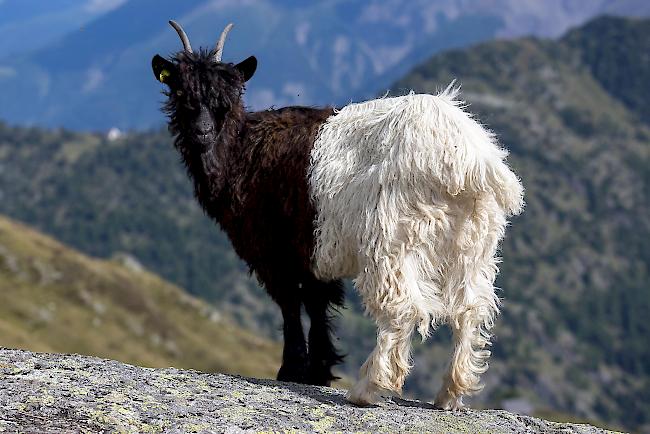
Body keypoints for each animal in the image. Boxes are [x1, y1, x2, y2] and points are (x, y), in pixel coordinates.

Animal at [152, 19, 520, 406]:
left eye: (226, 99)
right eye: (180, 93)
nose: (202, 132)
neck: (241, 149)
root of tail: (464, 157)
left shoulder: (276, 249)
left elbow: (291, 302)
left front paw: (293, 369)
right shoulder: (313, 250)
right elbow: (317, 303)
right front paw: (319, 369)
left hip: (393, 236)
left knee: (401, 306)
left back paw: (368, 388)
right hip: (473, 242)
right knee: (470, 308)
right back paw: (450, 392)